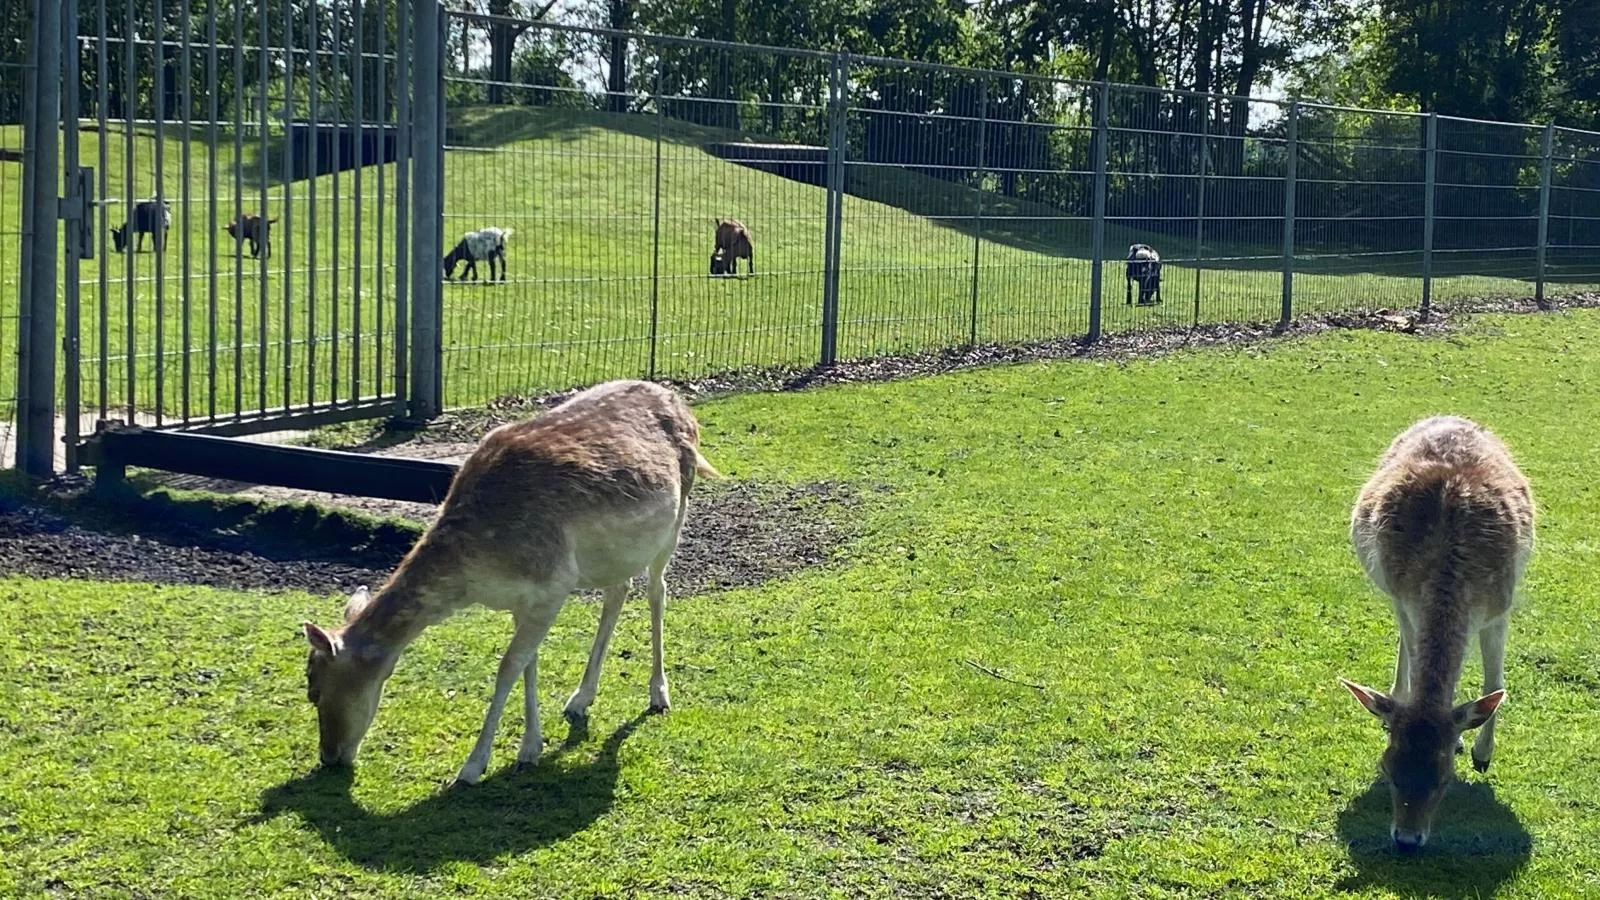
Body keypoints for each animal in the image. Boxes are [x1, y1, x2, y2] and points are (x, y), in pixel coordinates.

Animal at [299, 374, 720, 781]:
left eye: (314, 688)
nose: (329, 757)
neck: (476, 574)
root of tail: (680, 403)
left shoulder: (554, 583)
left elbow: (507, 668)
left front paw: (472, 766)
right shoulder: (522, 599)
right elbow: (527, 664)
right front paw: (530, 748)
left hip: (676, 515)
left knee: (656, 590)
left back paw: (658, 693)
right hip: (615, 554)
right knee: (618, 590)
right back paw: (580, 698)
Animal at [1337, 413, 1536, 845]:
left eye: (1443, 780)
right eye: (1388, 769)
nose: (1407, 840)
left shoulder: (1499, 606)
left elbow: (1495, 682)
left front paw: (1480, 752)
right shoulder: (1406, 596)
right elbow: (1416, 658)